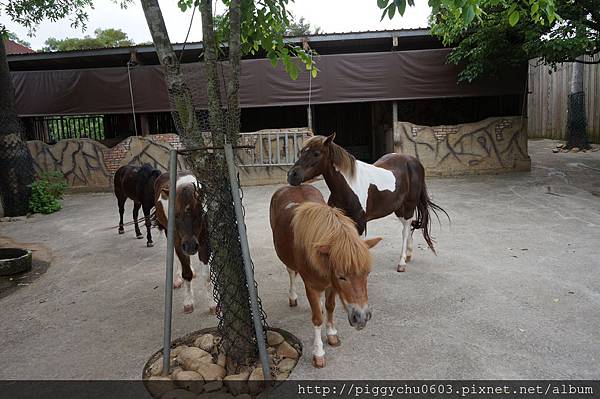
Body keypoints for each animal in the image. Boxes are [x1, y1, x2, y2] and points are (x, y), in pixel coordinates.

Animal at [152, 172, 216, 316]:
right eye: (175, 215)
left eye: (200, 213)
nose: (190, 246)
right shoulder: (179, 242)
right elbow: (186, 273)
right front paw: (188, 302)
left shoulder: (204, 242)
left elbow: (206, 275)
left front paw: (212, 304)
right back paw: (177, 279)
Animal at [270, 186, 382, 370]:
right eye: (341, 276)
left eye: (367, 273)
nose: (361, 318)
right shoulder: (311, 286)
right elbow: (317, 319)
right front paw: (318, 353)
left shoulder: (331, 285)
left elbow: (330, 307)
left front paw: (331, 334)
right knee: (291, 272)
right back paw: (292, 297)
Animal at [288, 133, 448, 274]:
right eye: (301, 151)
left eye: (316, 153)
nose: (292, 175)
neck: (348, 186)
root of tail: (414, 161)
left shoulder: (359, 223)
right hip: (398, 208)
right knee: (407, 227)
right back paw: (408, 254)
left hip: (409, 205)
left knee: (405, 229)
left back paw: (402, 262)